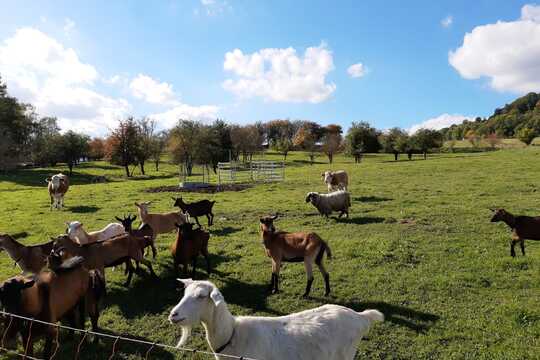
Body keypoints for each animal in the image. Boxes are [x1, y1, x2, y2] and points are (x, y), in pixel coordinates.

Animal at [169, 278, 384, 360]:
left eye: (201, 296)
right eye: (185, 292)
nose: (173, 315)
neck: (233, 335)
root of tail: (360, 316)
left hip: (345, 355)